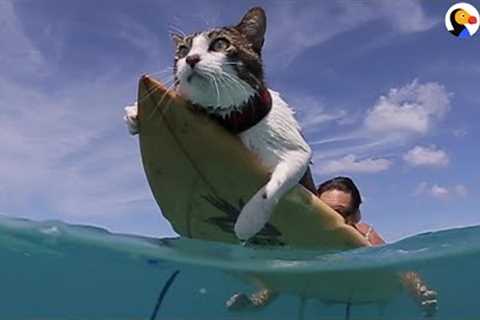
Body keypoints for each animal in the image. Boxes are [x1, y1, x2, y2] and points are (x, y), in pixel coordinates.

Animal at [124, 6, 316, 240]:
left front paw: (248, 221)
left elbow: (272, 186)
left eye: (220, 44)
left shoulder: (297, 152)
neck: (230, 118)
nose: (191, 58)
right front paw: (135, 112)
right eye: (183, 50)